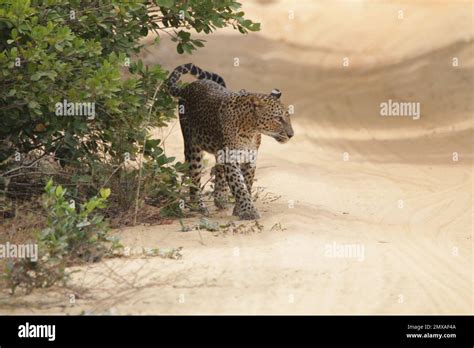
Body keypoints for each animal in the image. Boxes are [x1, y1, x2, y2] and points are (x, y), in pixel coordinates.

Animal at [166, 62, 292, 220]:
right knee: (194, 176)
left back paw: (220, 197)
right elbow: (239, 185)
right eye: (278, 119)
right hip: (192, 146)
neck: (251, 130)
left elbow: (247, 183)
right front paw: (249, 211)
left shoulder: (250, 157)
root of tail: (188, 87)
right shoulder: (231, 158)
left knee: (218, 169)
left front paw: (239, 209)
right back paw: (198, 206)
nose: (291, 135)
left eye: (288, 117)